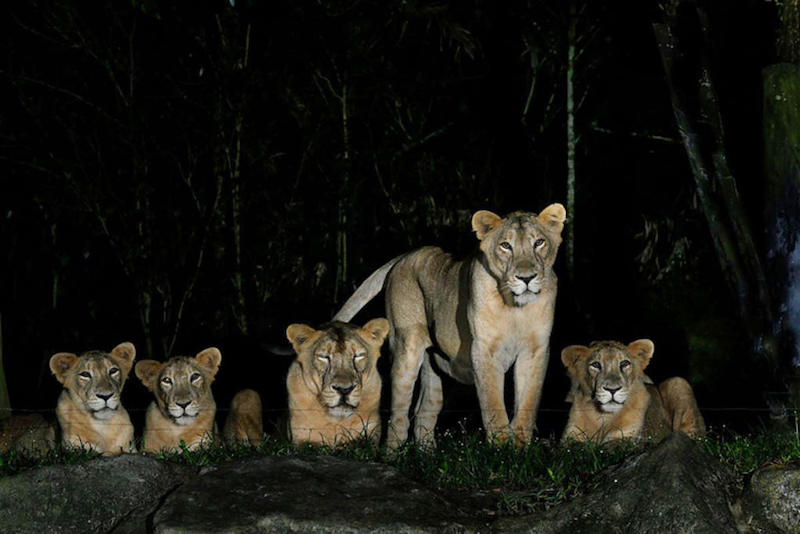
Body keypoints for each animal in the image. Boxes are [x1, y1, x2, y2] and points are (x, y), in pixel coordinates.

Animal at [333, 205, 566, 449]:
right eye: (505, 246)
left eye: (539, 242)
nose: (527, 278)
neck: (516, 309)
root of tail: (405, 255)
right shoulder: (484, 350)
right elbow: (493, 405)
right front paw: (501, 450)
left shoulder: (535, 350)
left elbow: (527, 405)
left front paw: (521, 450)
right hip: (406, 350)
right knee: (399, 416)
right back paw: (392, 453)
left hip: (433, 364)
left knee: (425, 411)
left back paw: (427, 454)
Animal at [561, 339, 706, 443]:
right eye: (596, 365)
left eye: (624, 363)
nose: (612, 389)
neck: (603, 417)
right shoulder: (570, 438)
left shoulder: (627, 438)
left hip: (678, 382)